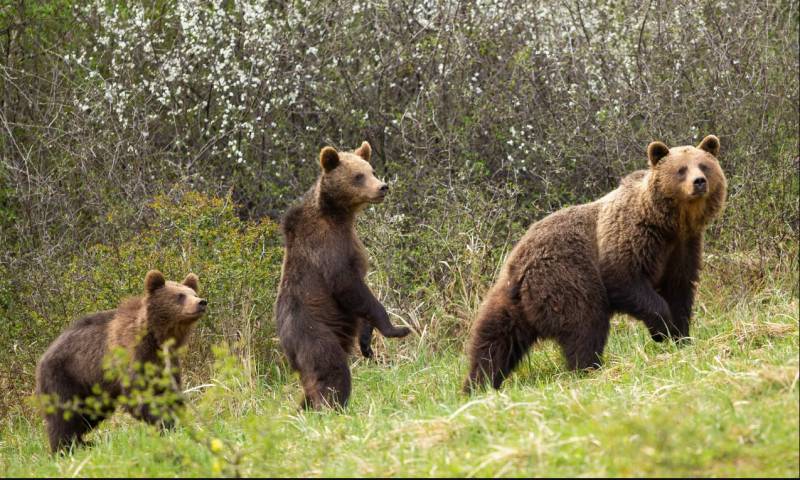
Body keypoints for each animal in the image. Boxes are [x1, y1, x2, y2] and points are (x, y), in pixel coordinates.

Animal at [35, 270, 207, 452]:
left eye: (194, 293)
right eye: (179, 296)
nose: (201, 302)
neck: (156, 339)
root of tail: (44, 355)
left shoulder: (164, 363)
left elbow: (169, 392)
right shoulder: (131, 357)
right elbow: (139, 397)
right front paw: (166, 424)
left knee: (89, 414)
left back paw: (83, 443)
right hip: (65, 376)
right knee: (63, 415)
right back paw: (64, 448)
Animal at [275, 141, 411, 410]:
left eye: (371, 170)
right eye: (358, 176)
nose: (382, 187)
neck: (339, 214)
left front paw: (366, 342)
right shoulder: (327, 248)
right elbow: (349, 286)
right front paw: (397, 328)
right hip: (313, 332)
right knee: (331, 369)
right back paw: (331, 406)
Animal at [464, 135, 727, 391]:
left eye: (704, 165)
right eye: (681, 169)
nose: (699, 182)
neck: (669, 224)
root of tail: (521, 268)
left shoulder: (683, 248)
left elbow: (680, 290)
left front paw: (681, 337)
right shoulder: (630, 236)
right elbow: (625, 279)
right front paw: (662, 329)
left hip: (507, 298)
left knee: (493, 340)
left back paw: (478, 384)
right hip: (566, 279)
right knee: (585, 325)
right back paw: (589, 369)